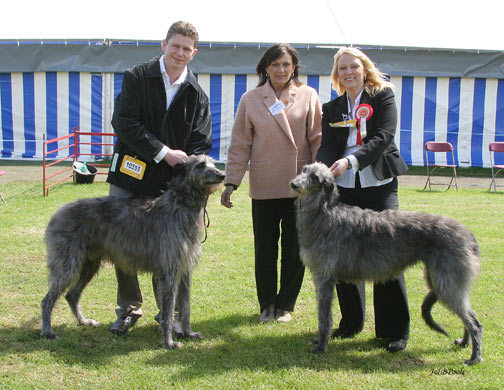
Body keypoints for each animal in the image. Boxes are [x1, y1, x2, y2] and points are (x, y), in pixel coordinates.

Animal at [41, 154, 224, 348]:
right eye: (201, 165)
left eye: (212, 163)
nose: (222, 175)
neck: (181, 204)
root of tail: (57, 214)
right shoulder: (169, 271)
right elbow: (167, 313)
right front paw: (168, 342)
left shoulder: (185, 269)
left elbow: (186, 306)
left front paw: (188, 333)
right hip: (67, 265)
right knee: (47, 301)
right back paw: (47, 331)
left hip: (89, 264)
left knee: (72, 295)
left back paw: (83, 321)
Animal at [292, 161, 484, 366]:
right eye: (304, 170)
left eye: (315, 177)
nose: (293, 184)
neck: (324, 212)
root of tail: (469, 235)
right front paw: (320, 341)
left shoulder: (324, 279)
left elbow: (324, 317)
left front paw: (321, 346)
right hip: (441, 280)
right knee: (470, 314)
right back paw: (464, 342)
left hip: (446, 282)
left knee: (474, 322)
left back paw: (474, 357)